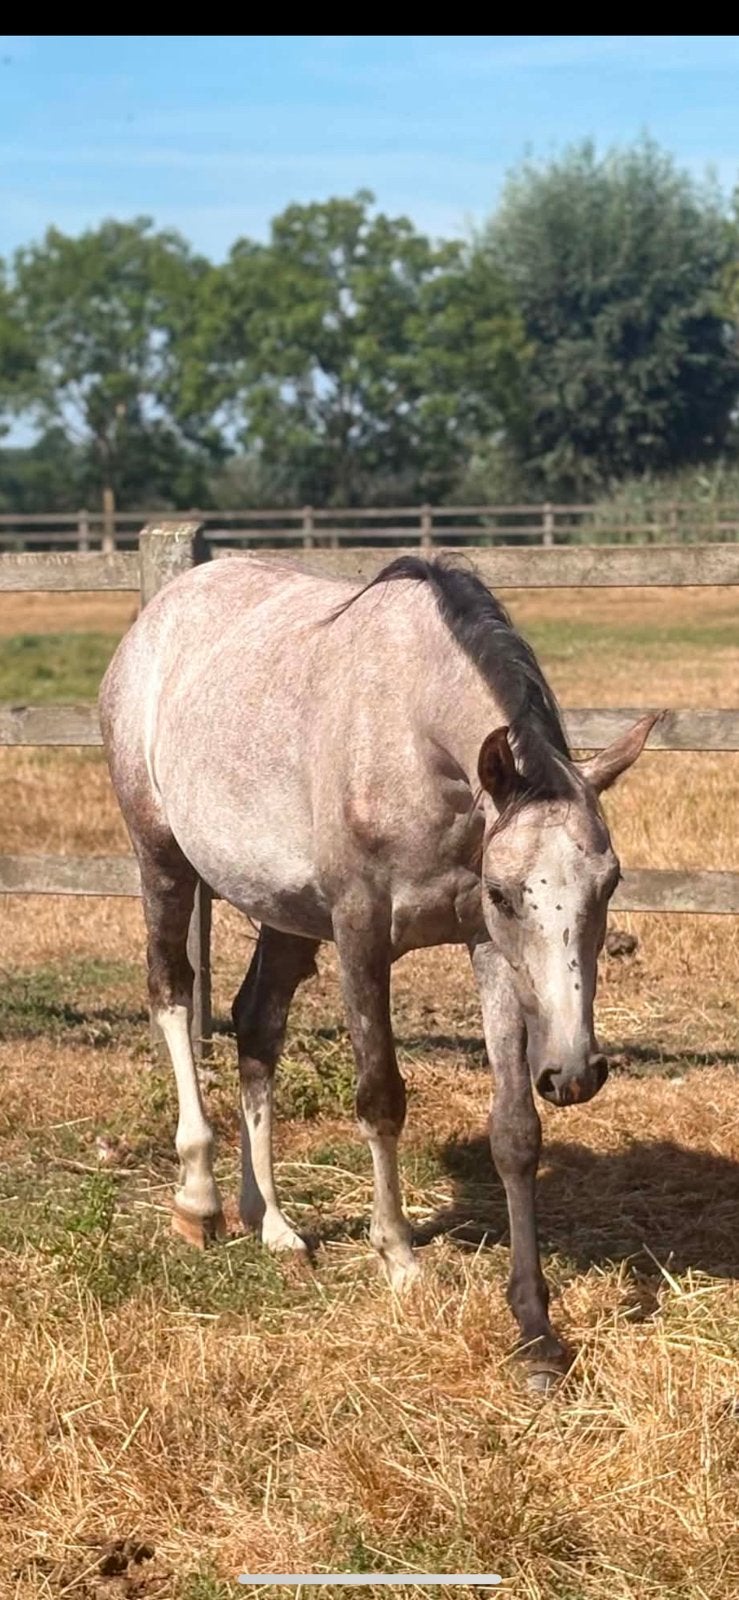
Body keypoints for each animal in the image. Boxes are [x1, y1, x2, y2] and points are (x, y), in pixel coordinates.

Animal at [100, 552, 658, 1387]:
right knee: (171, 992)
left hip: (282, 910)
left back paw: (272, 1225)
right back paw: (198, 1202)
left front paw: (534, 1330)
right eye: (505, 891)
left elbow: (514, 1130)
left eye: (611, 883)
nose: (575, 1073)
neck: (411, 738)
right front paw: (398, 1258)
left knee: (257, 1029)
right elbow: (380, 1098)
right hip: (162, 859)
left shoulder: (484, 946)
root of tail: (159, 614)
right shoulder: (360, 933)